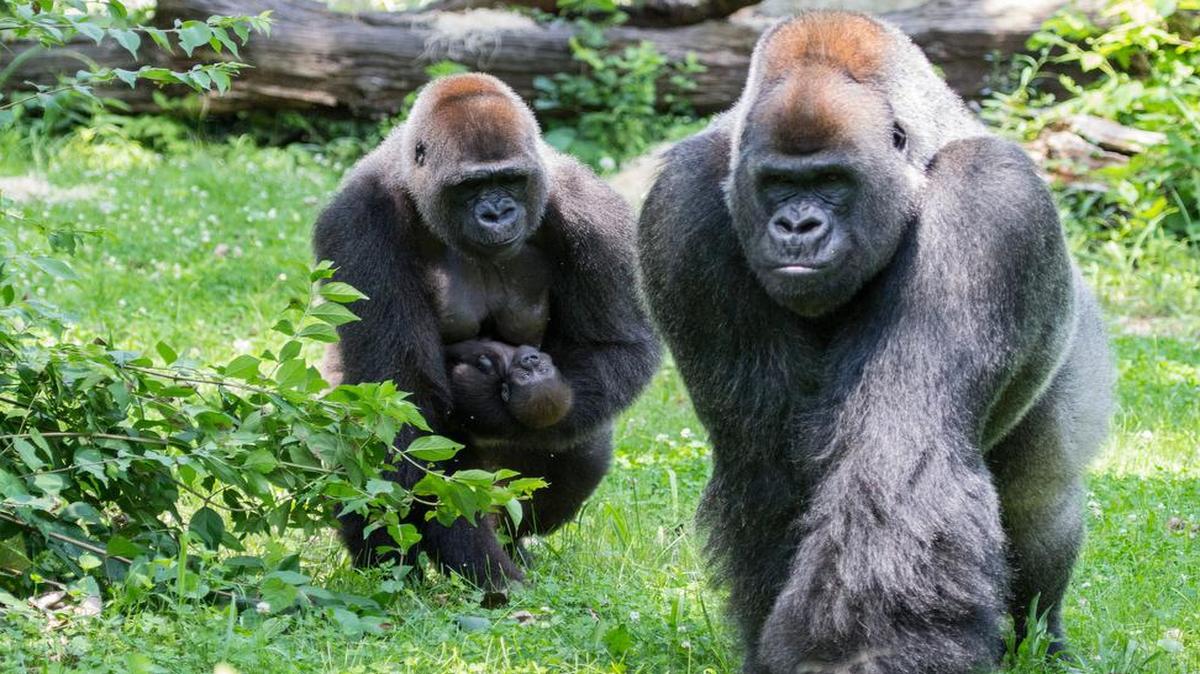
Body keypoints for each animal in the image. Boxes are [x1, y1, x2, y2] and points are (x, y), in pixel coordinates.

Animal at [313, 72, 659, 589]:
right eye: (473, 185)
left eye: (510, 180)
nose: (497, 214)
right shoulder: (360, 220)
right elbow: (400, 398)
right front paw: (477, 561)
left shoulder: (594, 212)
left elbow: (616, 346)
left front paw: (500, 404)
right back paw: (389, 572)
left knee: (581, 448)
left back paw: (516, 542)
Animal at [636, 11, 1113, 673]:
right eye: (777, 183)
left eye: (832, 181)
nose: (797, 225)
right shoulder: (684, 208)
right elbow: (768, 463)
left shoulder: (987, 199)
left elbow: (898, 457)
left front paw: (850, 654)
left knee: (1040, 499)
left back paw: (1040, 639)